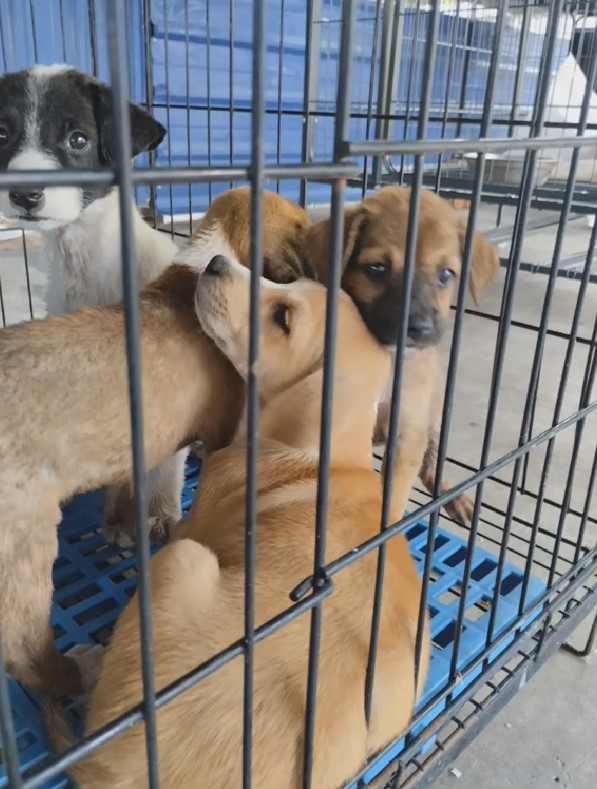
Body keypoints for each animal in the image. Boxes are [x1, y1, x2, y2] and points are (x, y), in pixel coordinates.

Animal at [0, 64, 186, 544]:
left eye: (78, 139)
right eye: (2, 133)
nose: (24, 195)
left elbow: (162, 468)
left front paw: (159, 515)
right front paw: (119, 517)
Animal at [45, 255, 428, 788]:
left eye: (283, 318)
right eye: (293, 282)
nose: (215, 262)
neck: (328, 456)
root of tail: (107, 769)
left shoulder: (198, 519)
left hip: (183, 560)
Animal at [196, 185, 498, 524]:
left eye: (446, 275)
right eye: (377, 269)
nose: (420, 329)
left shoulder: (407, 430)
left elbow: (393, 497)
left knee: (433, 454)